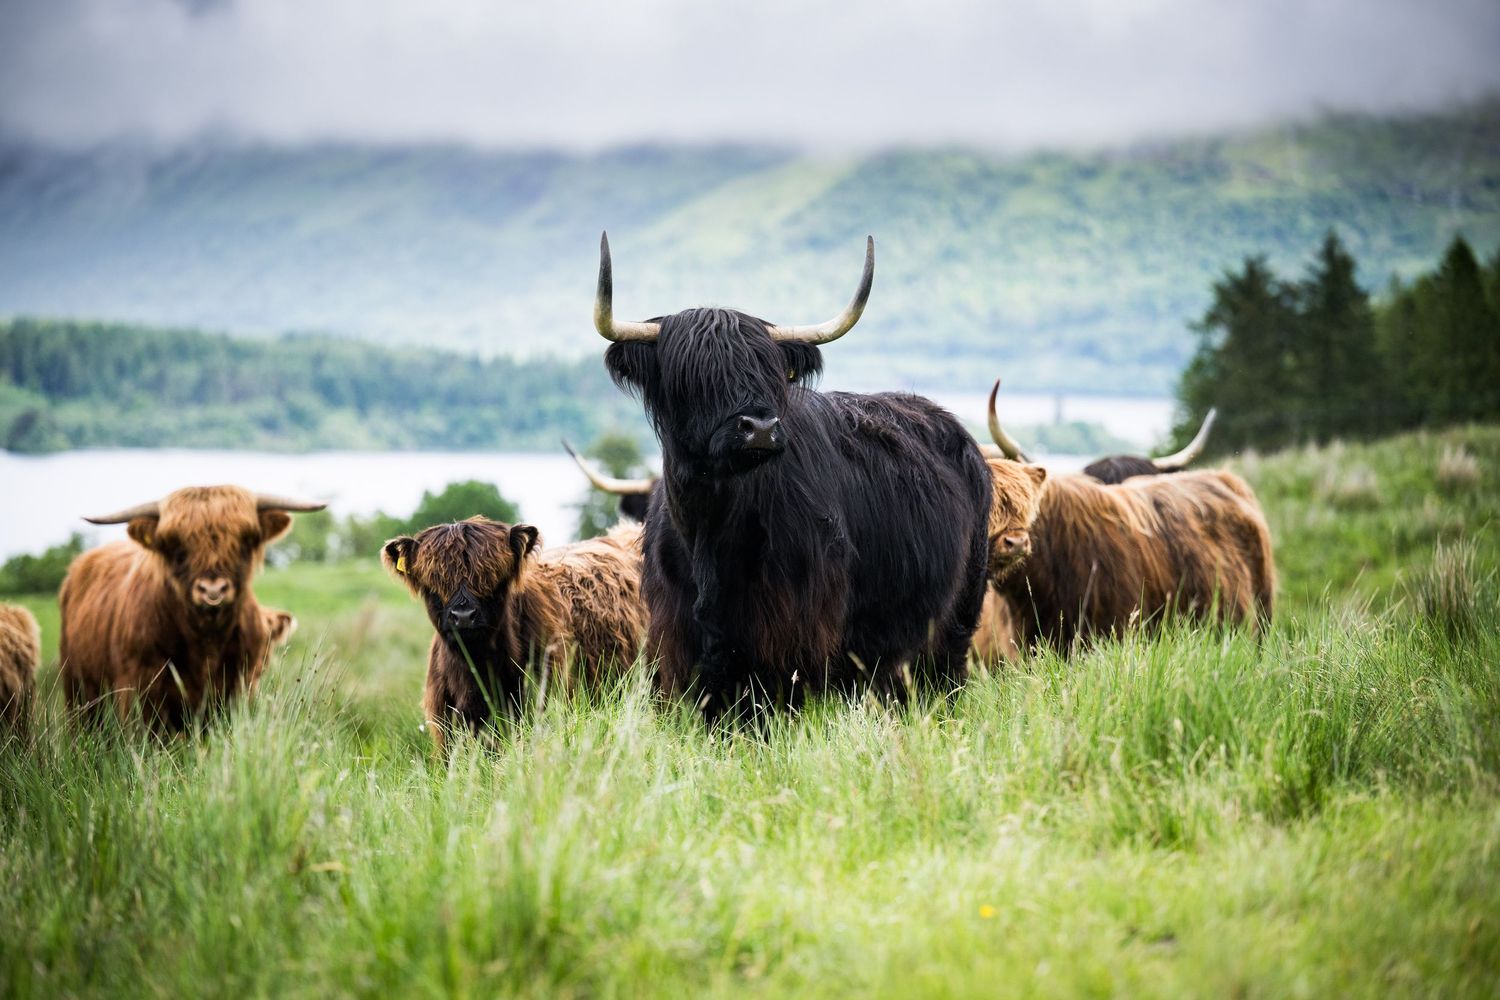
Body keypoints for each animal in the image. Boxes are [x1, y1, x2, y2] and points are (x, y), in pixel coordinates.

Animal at [58, 486, 324, 732]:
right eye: (176, 546)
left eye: (244, 541)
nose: (213, 589)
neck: (206, 642)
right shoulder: (138, 687)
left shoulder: (241, 685)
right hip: (78, 688)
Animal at [593, 232, 993, 717]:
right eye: (692, 374)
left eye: (770, 371)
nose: (760, 428)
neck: (712, 527)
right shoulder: (681, 642)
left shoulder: (792, 640)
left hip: (955, 619)